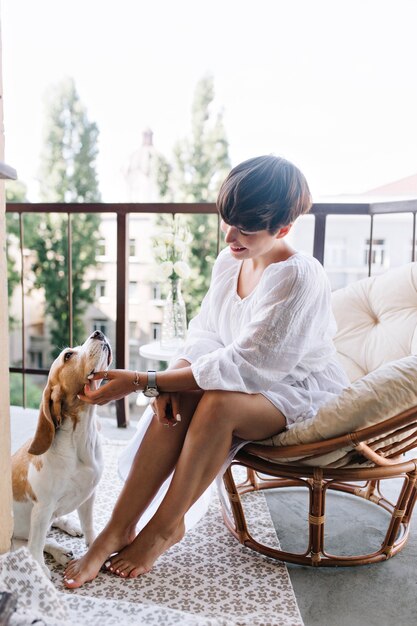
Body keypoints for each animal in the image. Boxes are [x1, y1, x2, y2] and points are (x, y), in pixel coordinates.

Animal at [11, 330, 111, 576]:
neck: (79, 440)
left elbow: (89, 526)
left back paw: (68, 529)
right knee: (31, 542)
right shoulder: (42, 508)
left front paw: (94, 548)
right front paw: (40, 569)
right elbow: (36, 546)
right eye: (68, 356)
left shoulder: (88, 495)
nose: (98, 333)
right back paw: (59, 552)